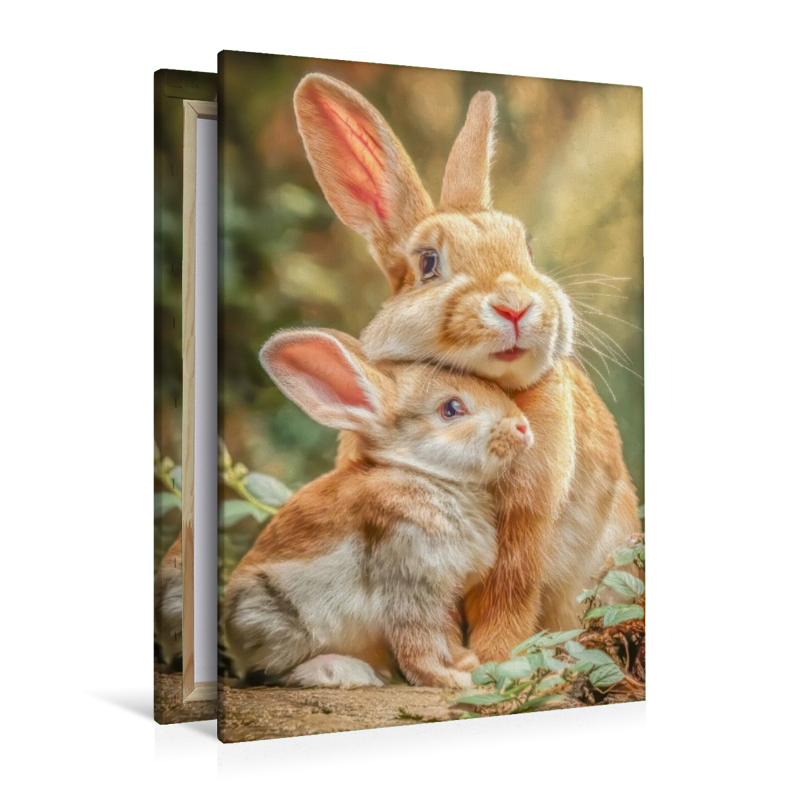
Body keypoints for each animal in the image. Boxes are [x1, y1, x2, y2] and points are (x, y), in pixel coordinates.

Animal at [223, 328, 533, 688]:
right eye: (451, 408)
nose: (522, 427)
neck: (425, 473)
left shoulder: (443, 596)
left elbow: (445, 635)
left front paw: (464, 662)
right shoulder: (409, 580)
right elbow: (418, 643)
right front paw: (452, 679)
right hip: (279, 620)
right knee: (272, 673)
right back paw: (342, 671)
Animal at [293, 74, 642, 662]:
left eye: (525, 247)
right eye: (429, 262)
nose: (515, 306)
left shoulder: (526, 521)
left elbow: (510, 587)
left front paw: (497, 659)